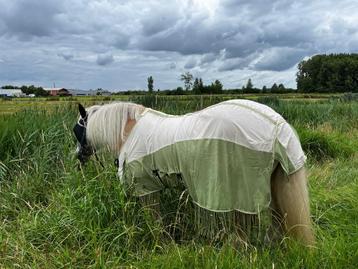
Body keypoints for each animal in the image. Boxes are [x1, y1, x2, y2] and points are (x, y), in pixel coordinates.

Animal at [74, 99, 314, 245]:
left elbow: (154, 221)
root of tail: (276, 126)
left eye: (78, 130)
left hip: (241, 199)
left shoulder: (146, 189)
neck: (129, 132)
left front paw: (160, 242)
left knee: (242, 238)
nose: (78, 160)